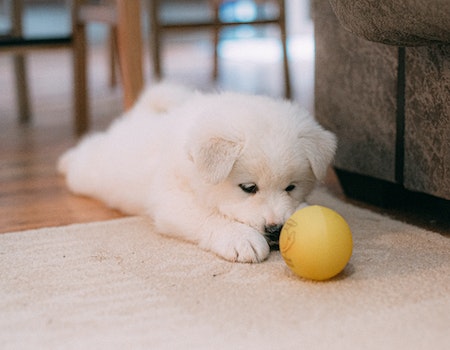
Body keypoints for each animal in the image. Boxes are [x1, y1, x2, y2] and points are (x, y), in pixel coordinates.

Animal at [59, 84, 334, 262]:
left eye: (291, 187)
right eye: (249, 188)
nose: (276, 229)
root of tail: (137, 116)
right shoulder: (172, 201)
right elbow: (207, 216)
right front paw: (241, 238)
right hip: (91, 172)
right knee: (85, 151)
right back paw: (65, 160)